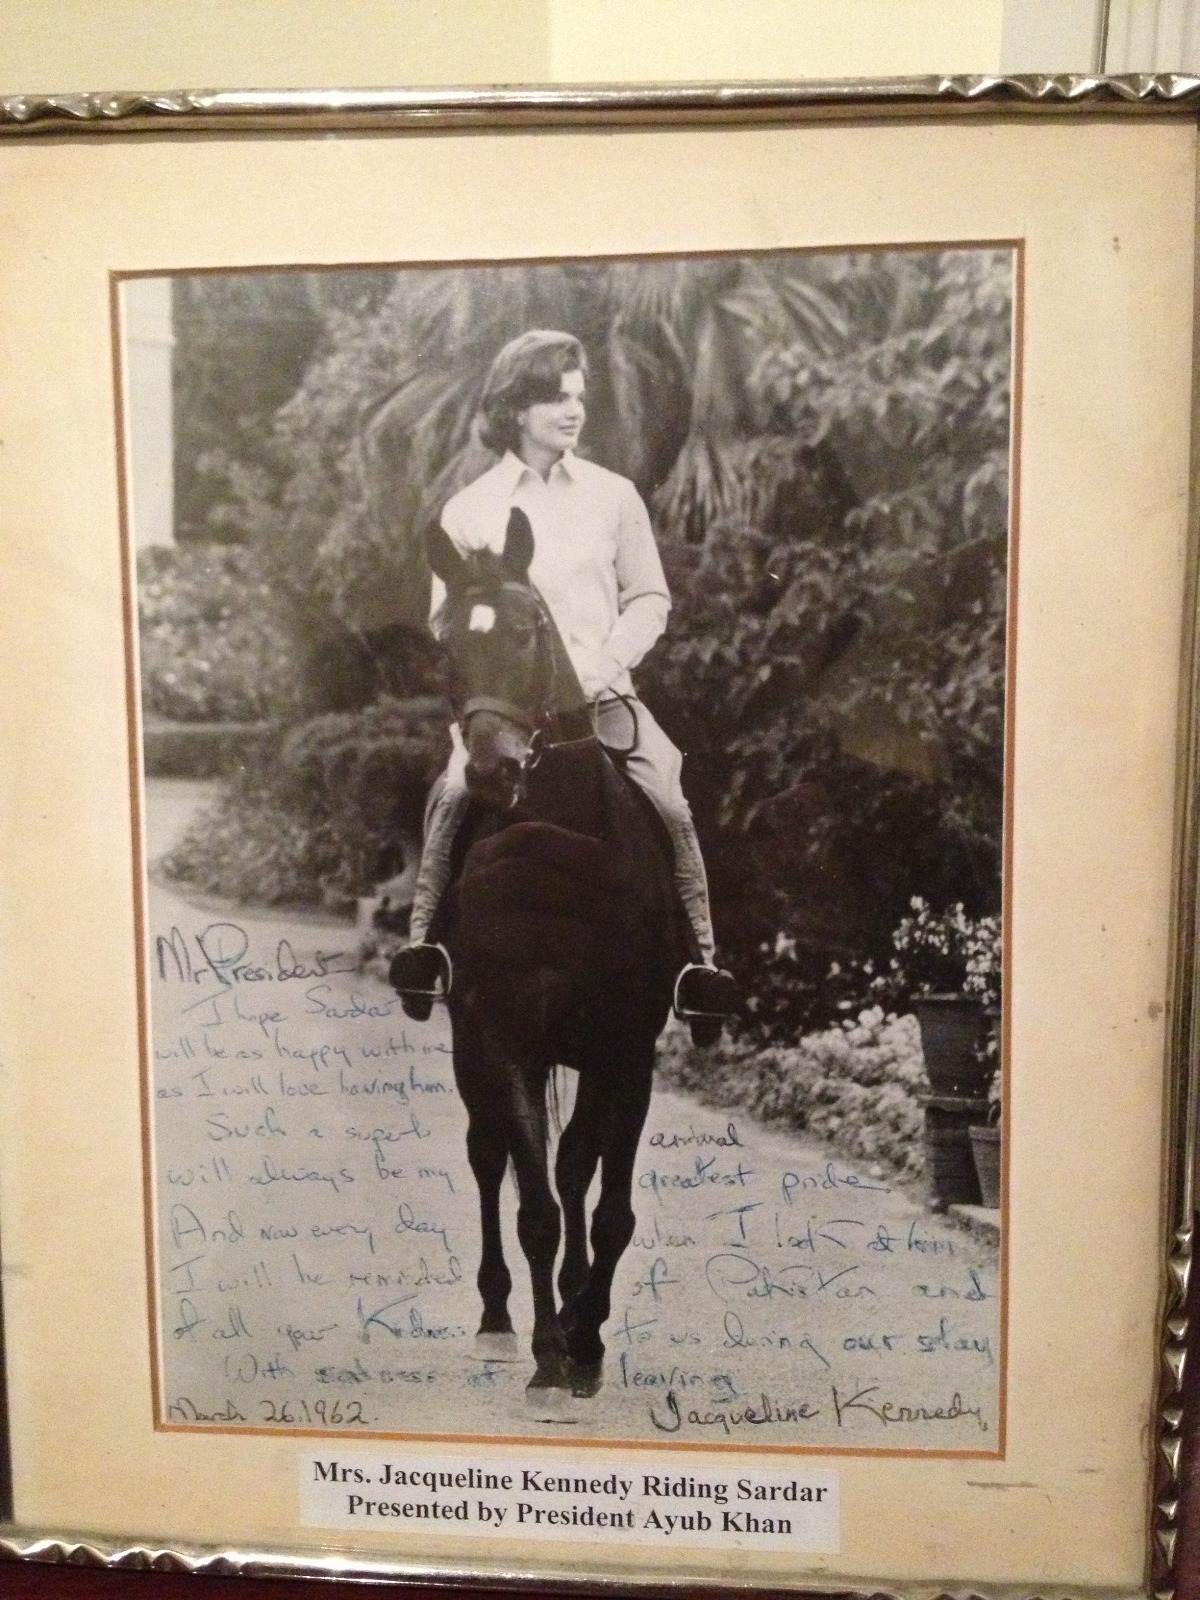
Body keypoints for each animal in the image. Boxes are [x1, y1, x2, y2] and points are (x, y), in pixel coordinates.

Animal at [417, 506, 685, 1401]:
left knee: (575, 1172)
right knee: (490, 1157)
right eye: (443, 645)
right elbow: (537, 1202)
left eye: (532, 627)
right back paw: (500, 1319)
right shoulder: (505, 1038)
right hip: (475, 1048)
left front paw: (586, 1339)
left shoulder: (622, 1049)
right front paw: (546, 1354)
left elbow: (602, 1204)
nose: (493, 771)